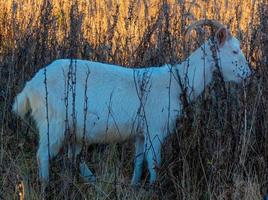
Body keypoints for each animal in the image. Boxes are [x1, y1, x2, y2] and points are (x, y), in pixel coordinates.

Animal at [12, 19, 251, 186]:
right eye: (234, 51)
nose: (249, 74)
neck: (176, 82)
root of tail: (30, 87)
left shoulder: (140, 132)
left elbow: (138, 160)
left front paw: (135, 185)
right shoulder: (155, 128)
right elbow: (154, 162)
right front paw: (154, 187)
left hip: (74, 130)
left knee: (74, 156)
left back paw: (92, 180)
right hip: (53, 122)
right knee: (43, 154)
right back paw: (46, 185)